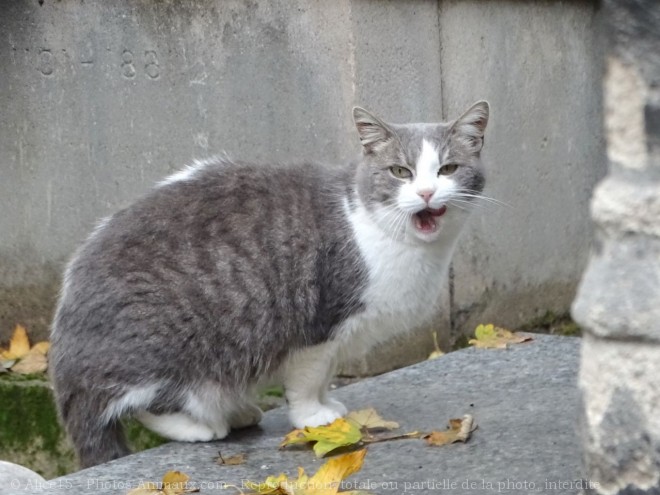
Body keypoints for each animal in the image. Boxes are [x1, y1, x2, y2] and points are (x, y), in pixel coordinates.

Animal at [49, 101, 488, 468]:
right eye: (401, 171)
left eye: (448, 169)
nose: (427, 192)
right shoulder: (318, 325)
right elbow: (308, 379)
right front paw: (313, 416)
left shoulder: (340, 335)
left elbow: (326, 375)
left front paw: (329, 404)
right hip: (174, 345)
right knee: (140, 403)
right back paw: (204, 424)